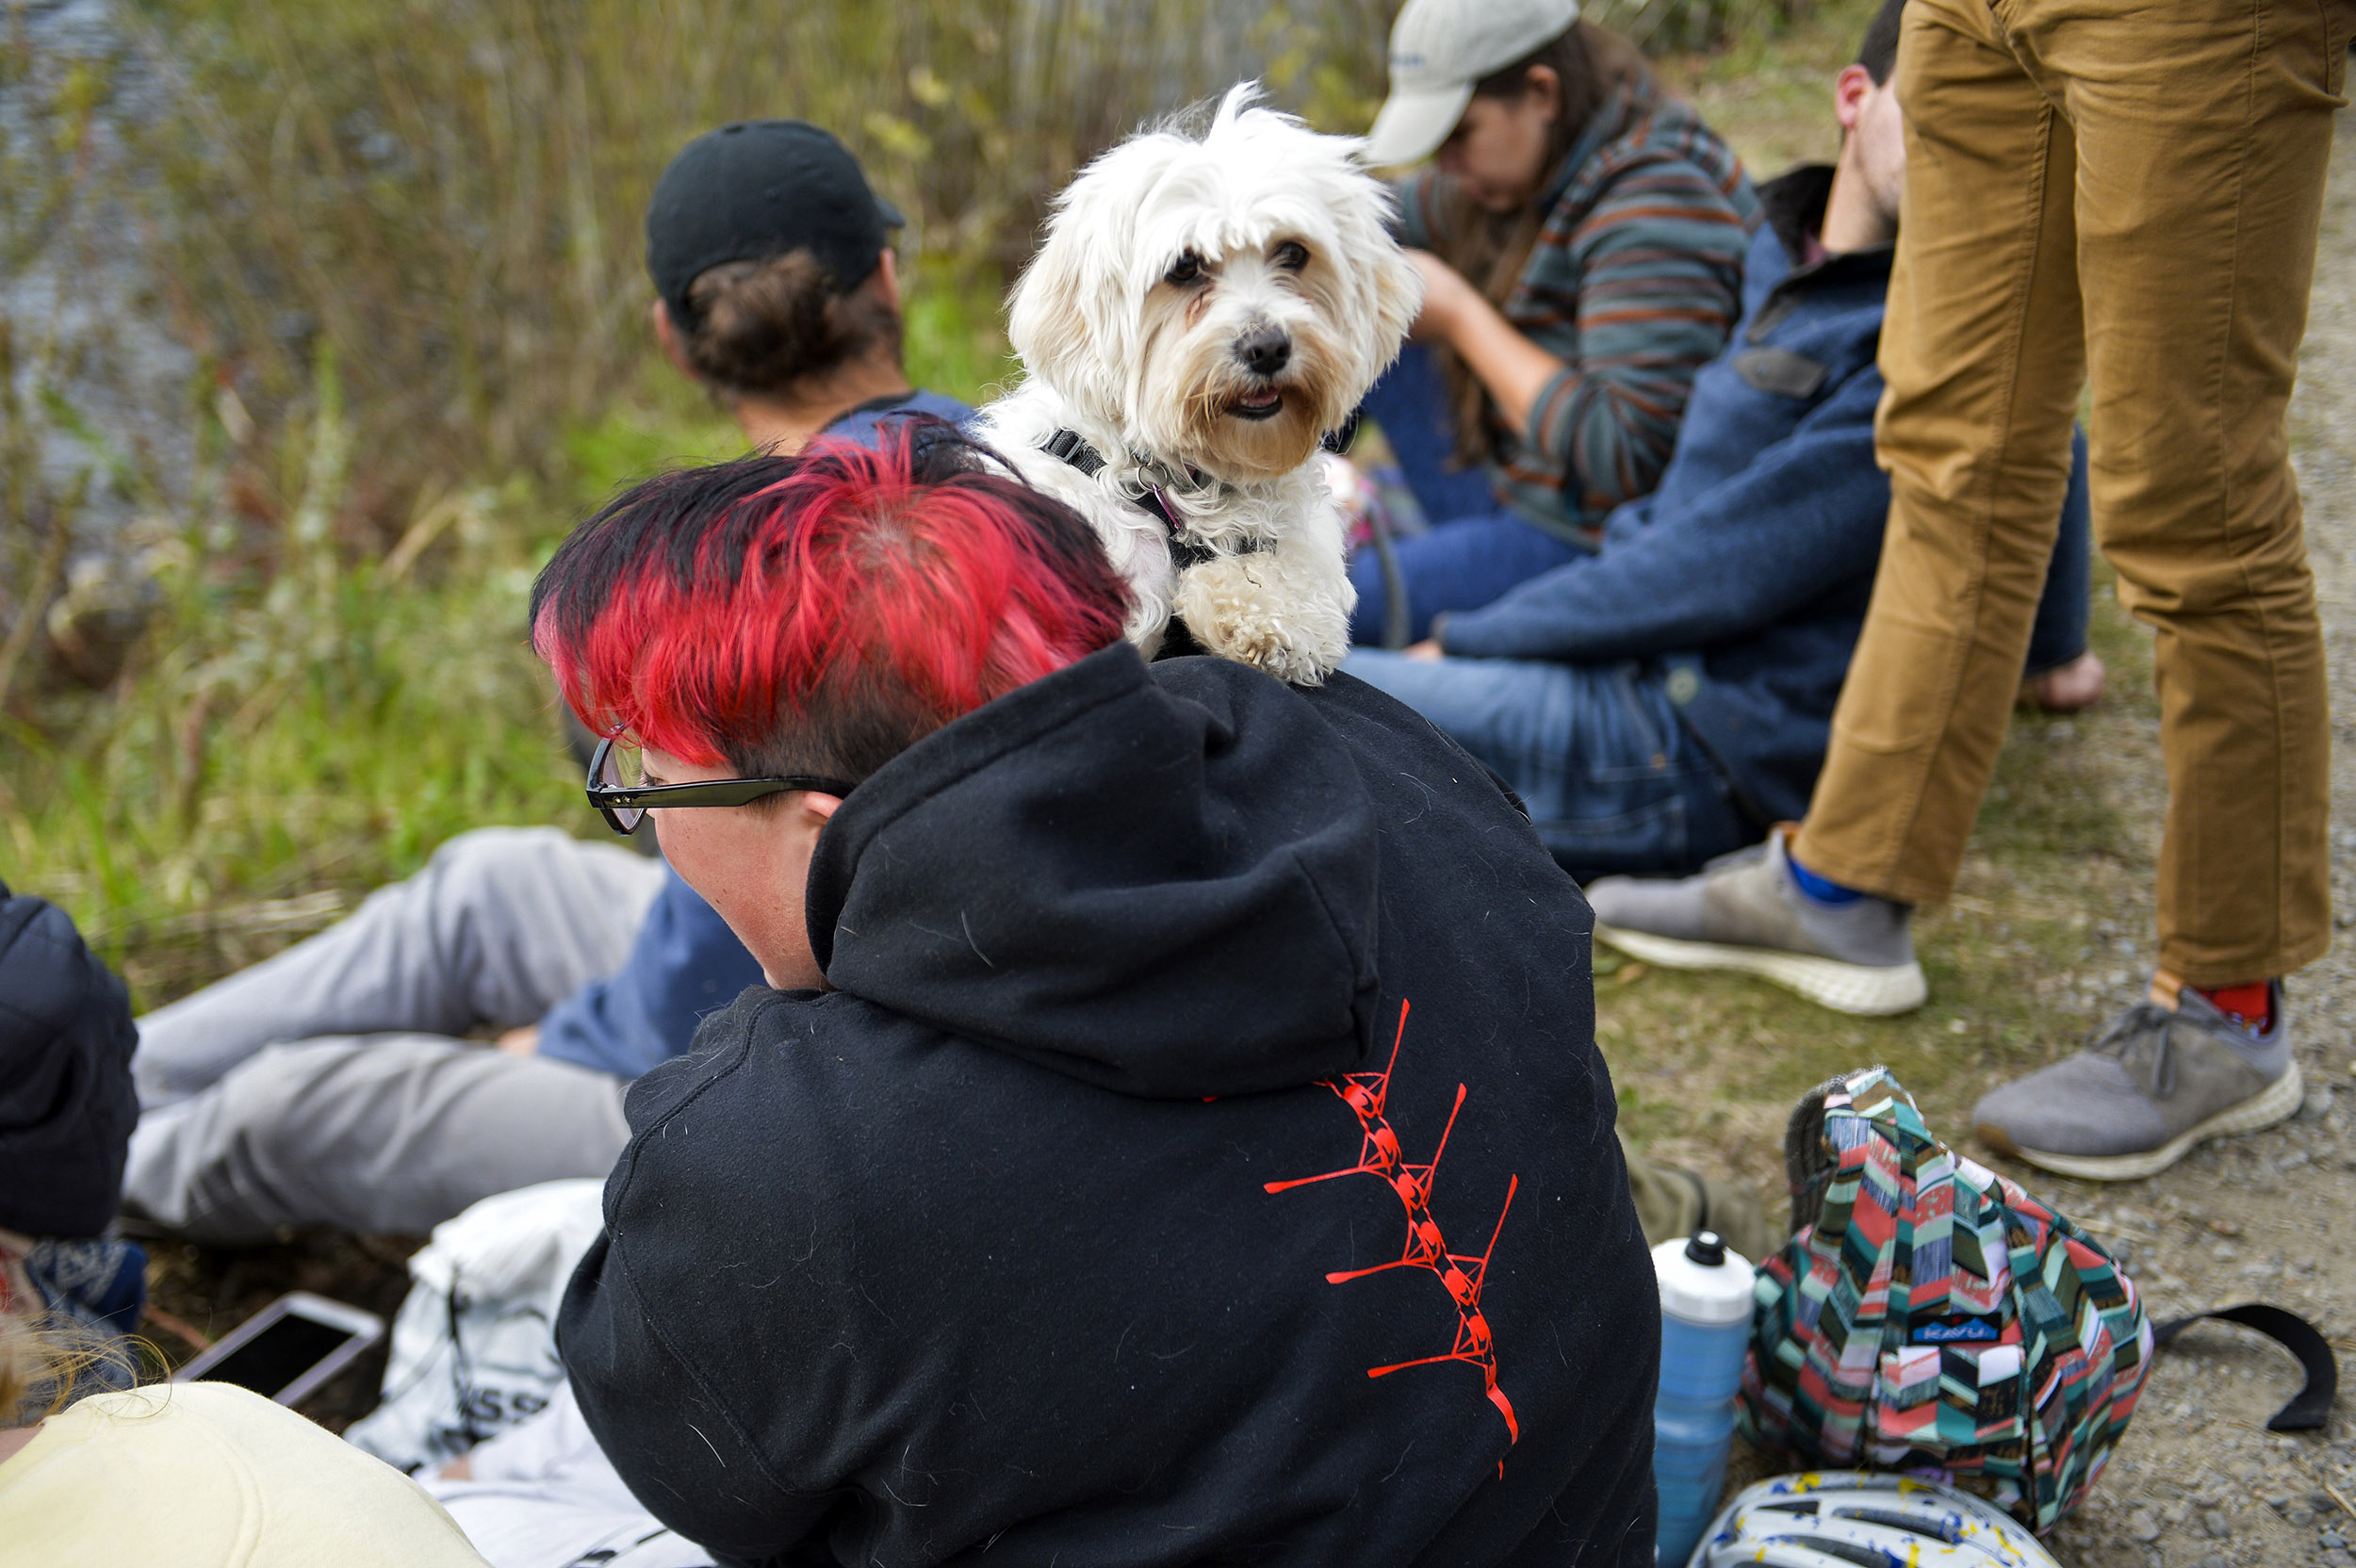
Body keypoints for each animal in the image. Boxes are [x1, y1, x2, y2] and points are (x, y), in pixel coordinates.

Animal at [971, 85, 1414, 682]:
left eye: (1293, 253)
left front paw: (1238, 605)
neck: (1181, 492)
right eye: (1184, 268)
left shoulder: (1308, 568)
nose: (1267, 346)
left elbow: (1296, 604)